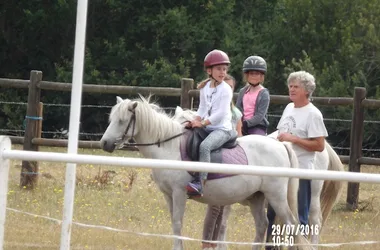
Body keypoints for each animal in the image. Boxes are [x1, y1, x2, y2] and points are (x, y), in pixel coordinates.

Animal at [101, 96, 312, 250]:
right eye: (111, 119)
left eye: (121, 121)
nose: (104, 143)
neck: (169, 148)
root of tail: (280, 144)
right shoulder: (168, 195)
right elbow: (174, 223)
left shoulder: (179, 193)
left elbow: (178, 222)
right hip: (256, 197)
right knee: (262, 225)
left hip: (276, 196)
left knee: (291, 225)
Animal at [174, 106, 346, 249]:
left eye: (186, 123)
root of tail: (325, 148)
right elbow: (221, 224)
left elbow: (221, 225)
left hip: (311, 194)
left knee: (314, 221)